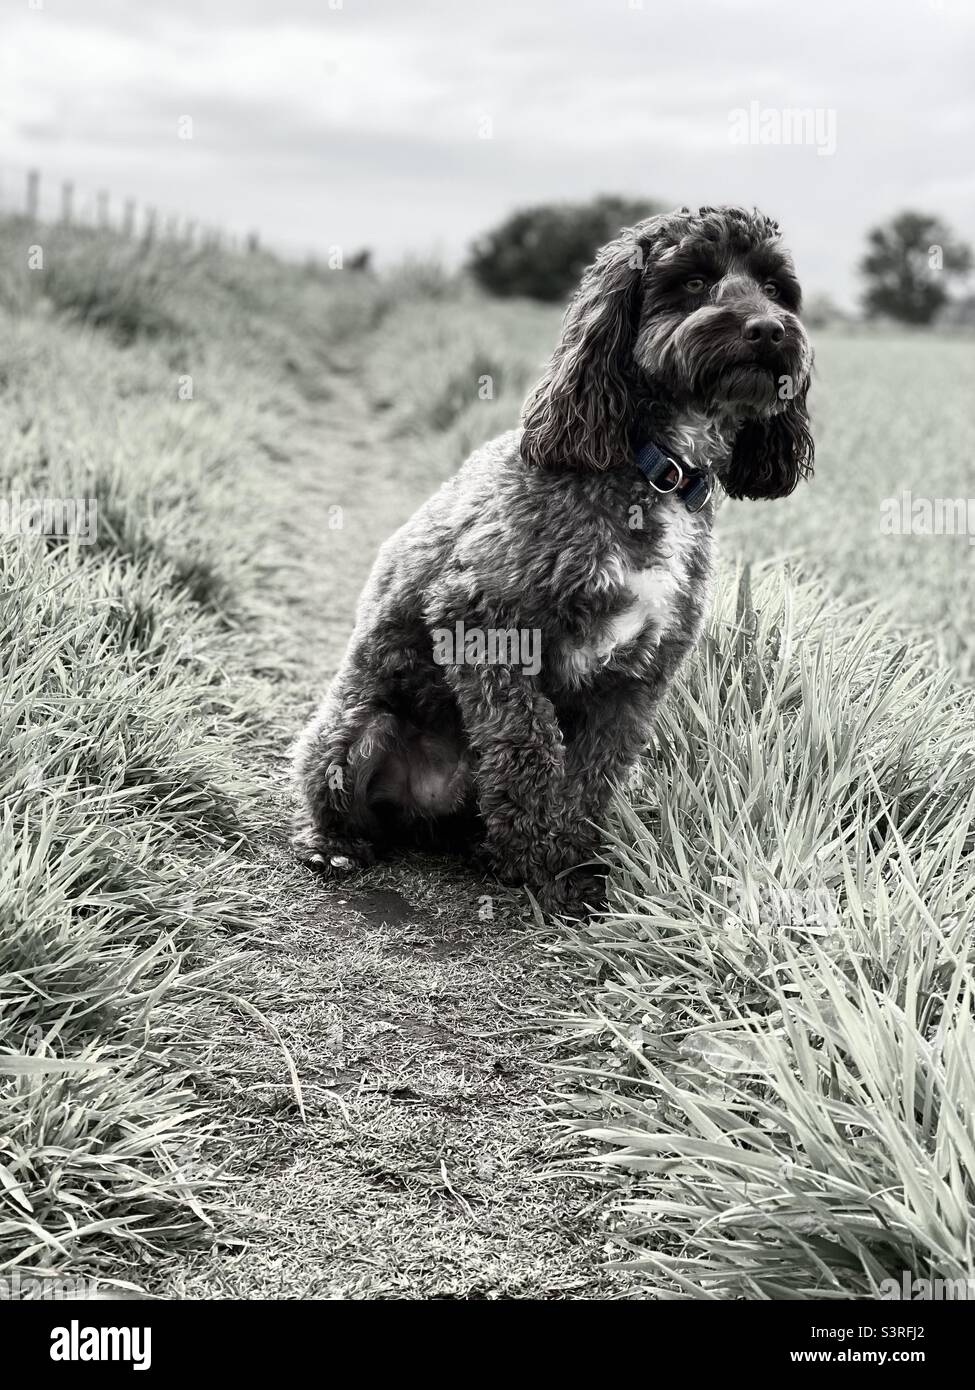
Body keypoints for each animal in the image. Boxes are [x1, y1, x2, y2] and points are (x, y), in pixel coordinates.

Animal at [290, 201, 812, 906]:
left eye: (776, 288)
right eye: (695, 281)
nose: (768, 329)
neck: (655, 468)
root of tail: (425, 808)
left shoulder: (639, 673)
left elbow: (595, 771)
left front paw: (574, 858)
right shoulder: (482, 621)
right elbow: (527, 744)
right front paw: (540, 860)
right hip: (352, 733)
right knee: (344, 801)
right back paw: (339, 848)